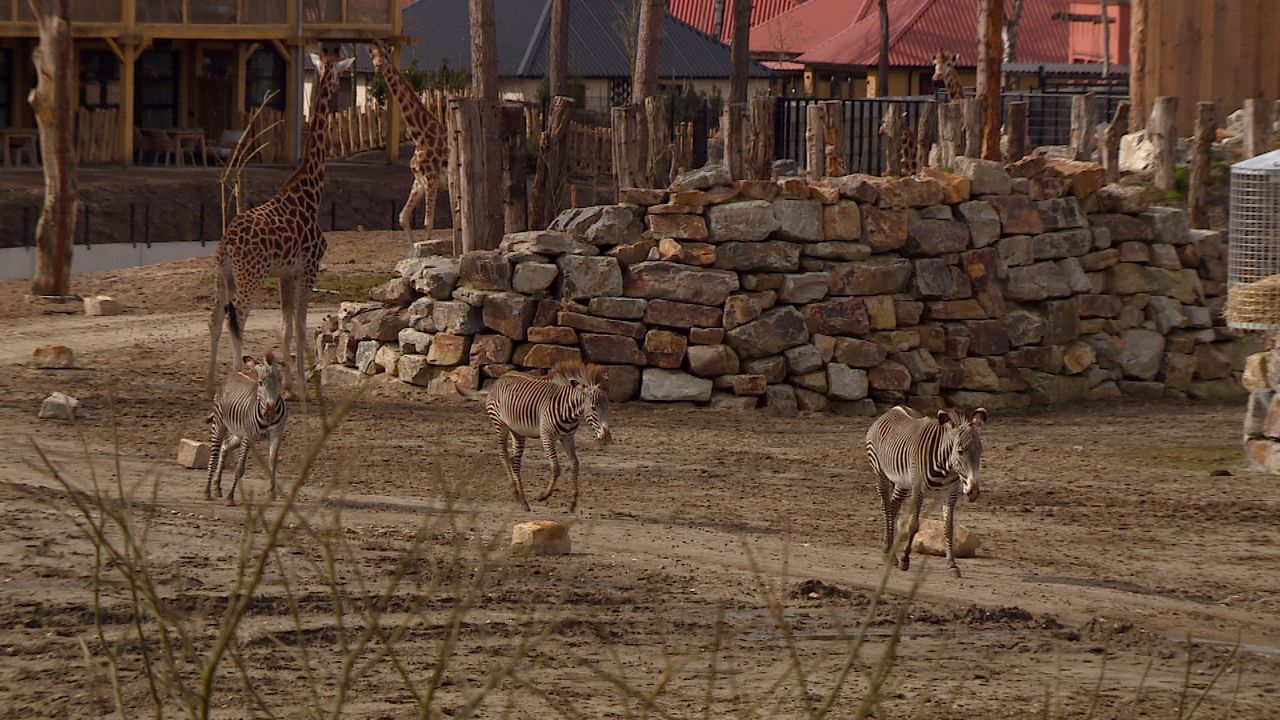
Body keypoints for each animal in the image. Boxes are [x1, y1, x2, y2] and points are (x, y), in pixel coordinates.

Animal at [205, 352, 288, 505]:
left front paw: (271, 493)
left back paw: (217, 486)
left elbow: (272, 464)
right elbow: (239, 469)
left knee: (225, 445)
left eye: (279, 383)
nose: (270, 412)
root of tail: (234, 373)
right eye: (261, 383)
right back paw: (207, 491)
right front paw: (230, 497)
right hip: (219, 425)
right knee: (213, 457)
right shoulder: (249, 436)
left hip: (239, 435)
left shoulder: (277, 434)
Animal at [457, 361, 612, 513]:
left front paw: (573, 502)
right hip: (500, 425)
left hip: (517, 432)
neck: (569, 411)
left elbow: (575, 464)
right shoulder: (546, 436)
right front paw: (544, 495)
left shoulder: (568, 438)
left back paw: (522, 500)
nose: (607, 437)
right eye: (593, 408)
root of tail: (499, 378)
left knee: (515, 462)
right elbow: (556, 468)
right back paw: (516, 494)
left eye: (608, 407)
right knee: (504, 455)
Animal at [865, 405, 987, 577]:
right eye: (960, 451)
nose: (973, 491)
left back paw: (890, 552)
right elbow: (913, 525)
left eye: (980, 451)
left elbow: (949, 527)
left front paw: (952, 564)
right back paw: (888, 553)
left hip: (902, 482)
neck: (947, 468)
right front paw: (905, 560)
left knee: (893, 507)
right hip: (880, 473)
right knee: (885, 507)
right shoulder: (918, 489)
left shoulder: (951, 493)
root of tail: (894, 409)